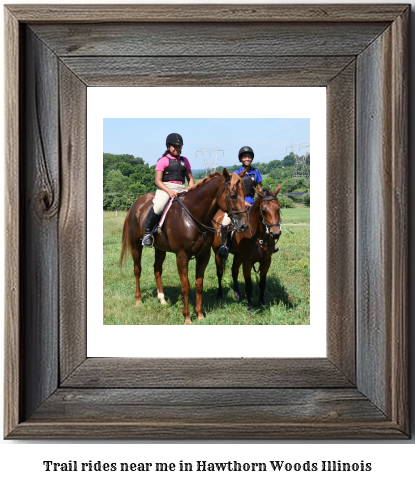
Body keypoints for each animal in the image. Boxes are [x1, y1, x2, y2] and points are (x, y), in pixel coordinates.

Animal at [118, 168, 249, 324]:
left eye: (245, 194)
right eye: (233, 196)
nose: (243, 226)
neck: (193, 216)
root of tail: (135, 204)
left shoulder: (204, 255)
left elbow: (199, 284)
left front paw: (200, 314)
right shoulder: (182, 256)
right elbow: (185, 286)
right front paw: (187, 317)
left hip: (160, 249)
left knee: (157, 269)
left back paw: (162, 299)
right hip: (136, 246)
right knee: (137, 270)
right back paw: (138, 300)